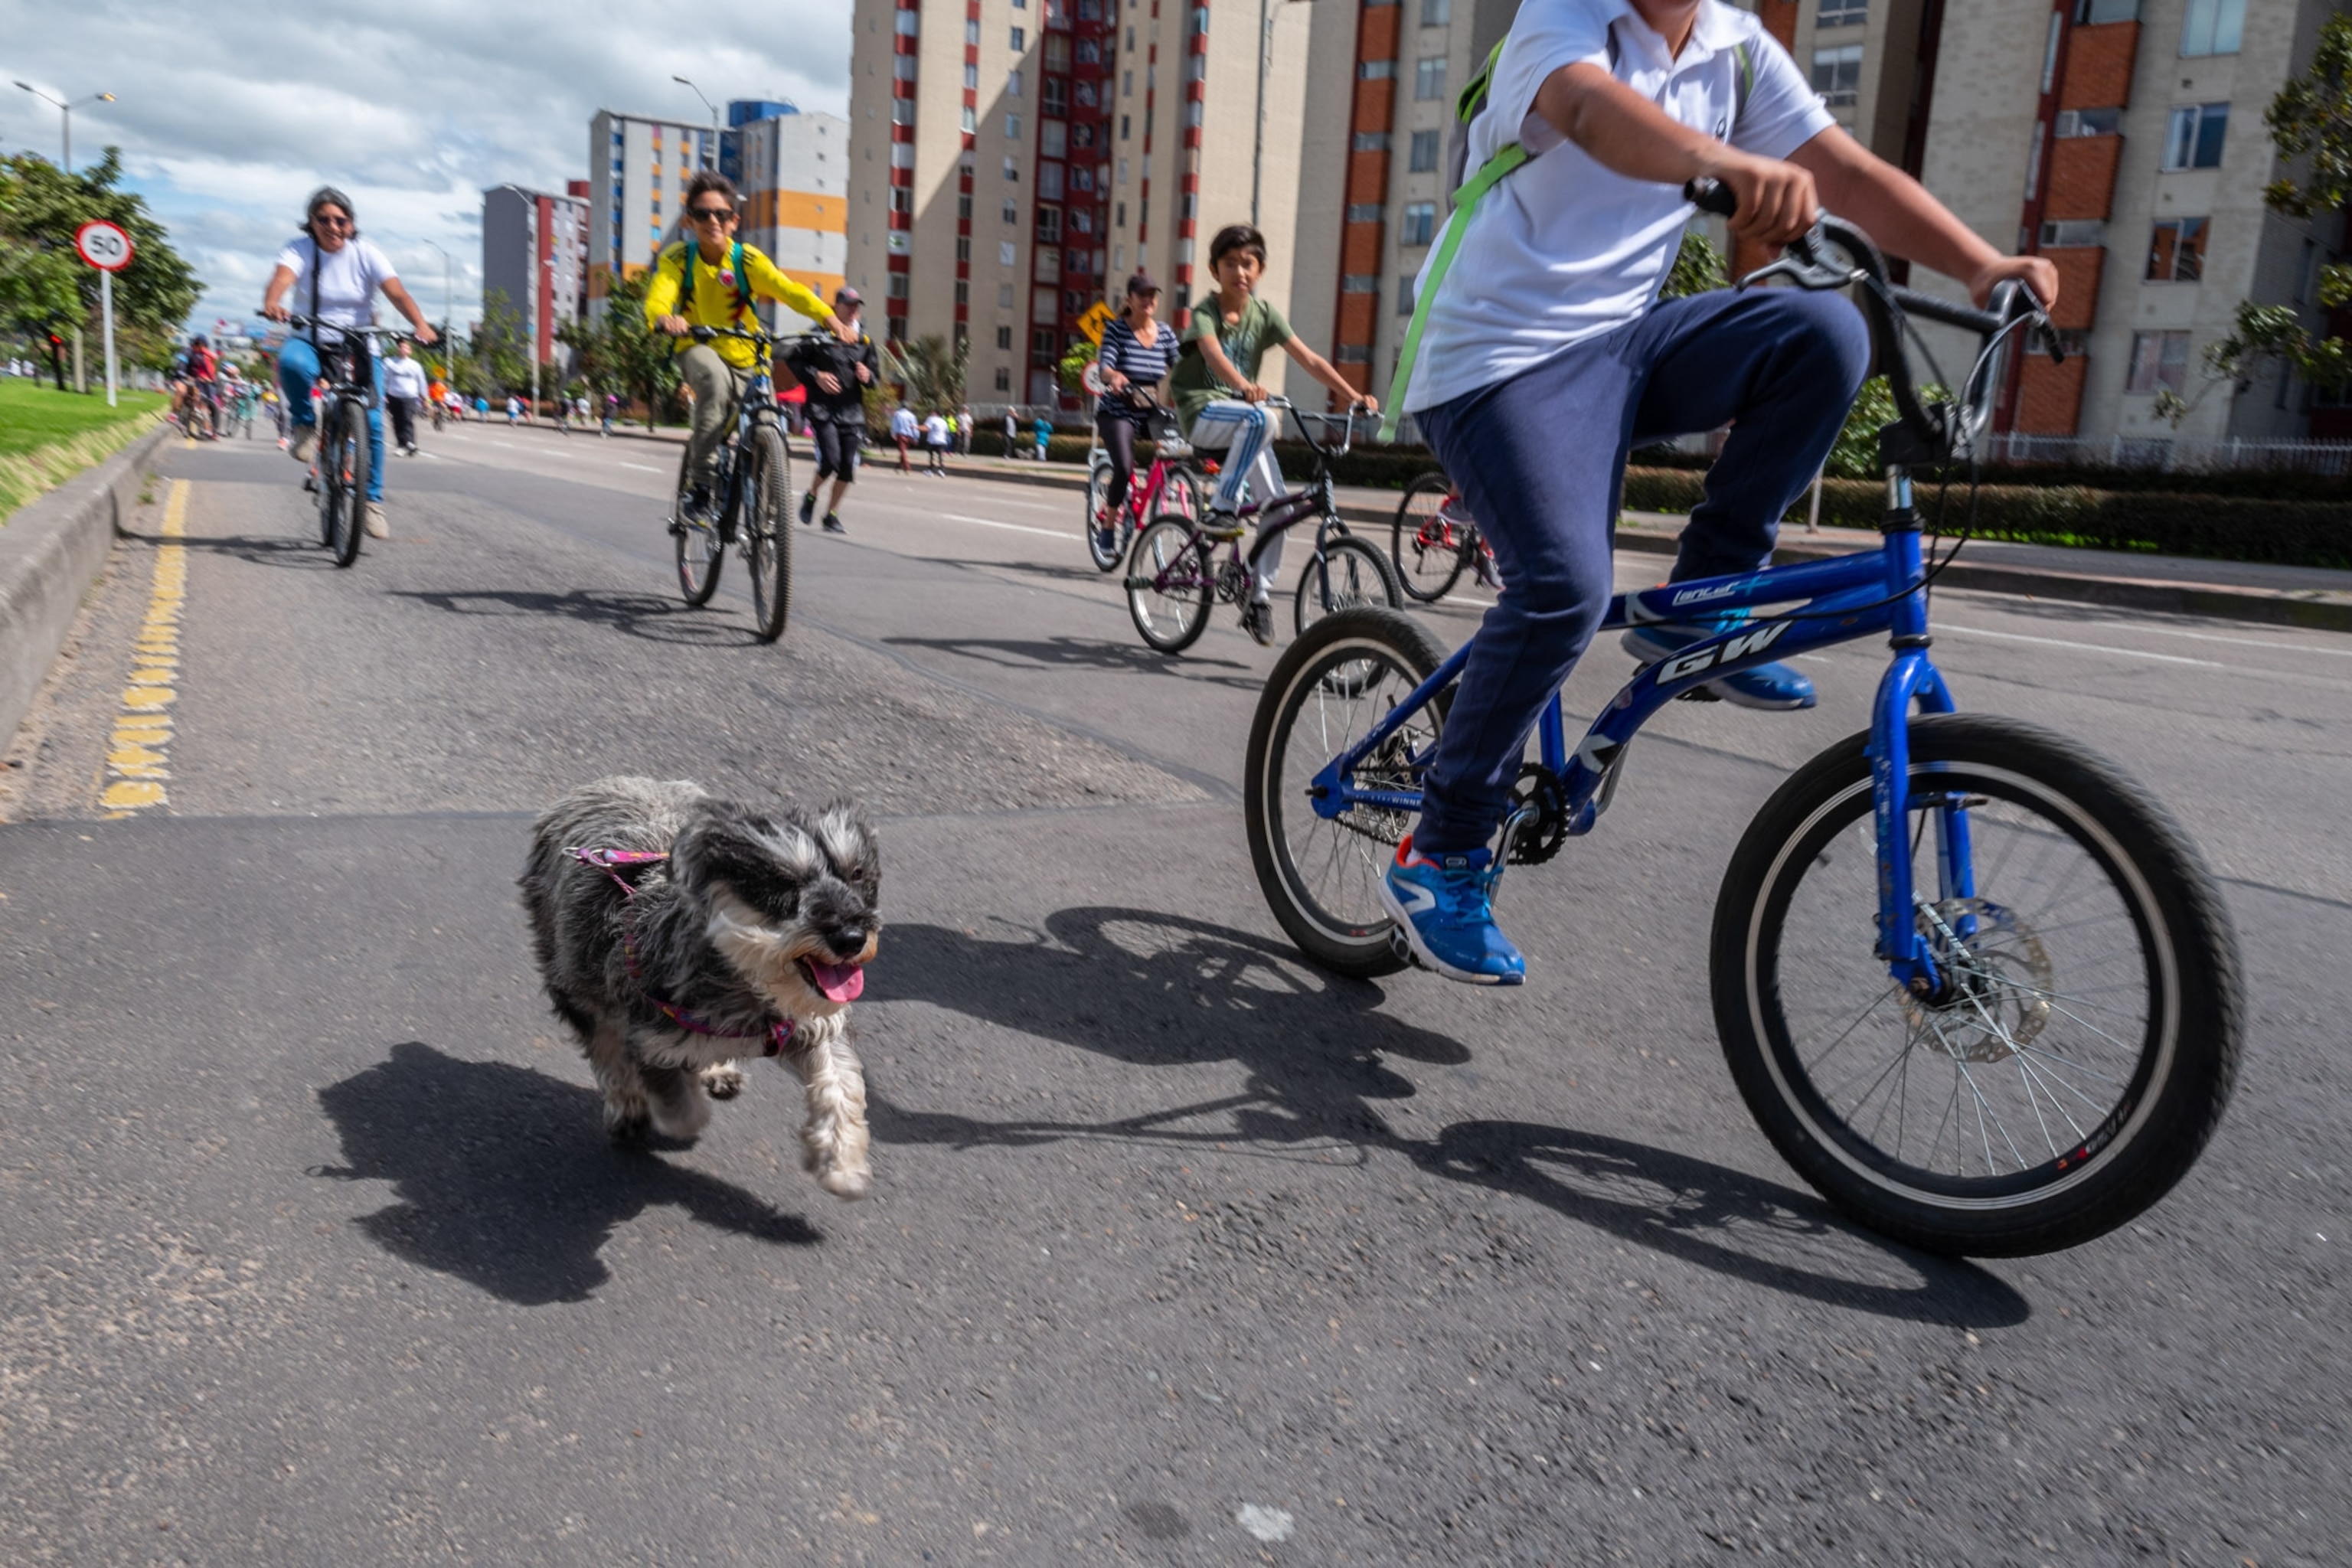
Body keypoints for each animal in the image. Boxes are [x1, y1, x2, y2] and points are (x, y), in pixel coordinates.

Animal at [521, 776, 884, 1204]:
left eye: (857, 873)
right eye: (783, 883)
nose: (851, 938)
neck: (746, 983)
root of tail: (603, 784)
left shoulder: (814, 1029)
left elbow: (839, 1086)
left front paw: (841, 1166)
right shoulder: (650, 1038)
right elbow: (680, 1106)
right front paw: (675, 1111)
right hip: (574, 978)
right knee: (606, 1051)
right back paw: (628, 1110)